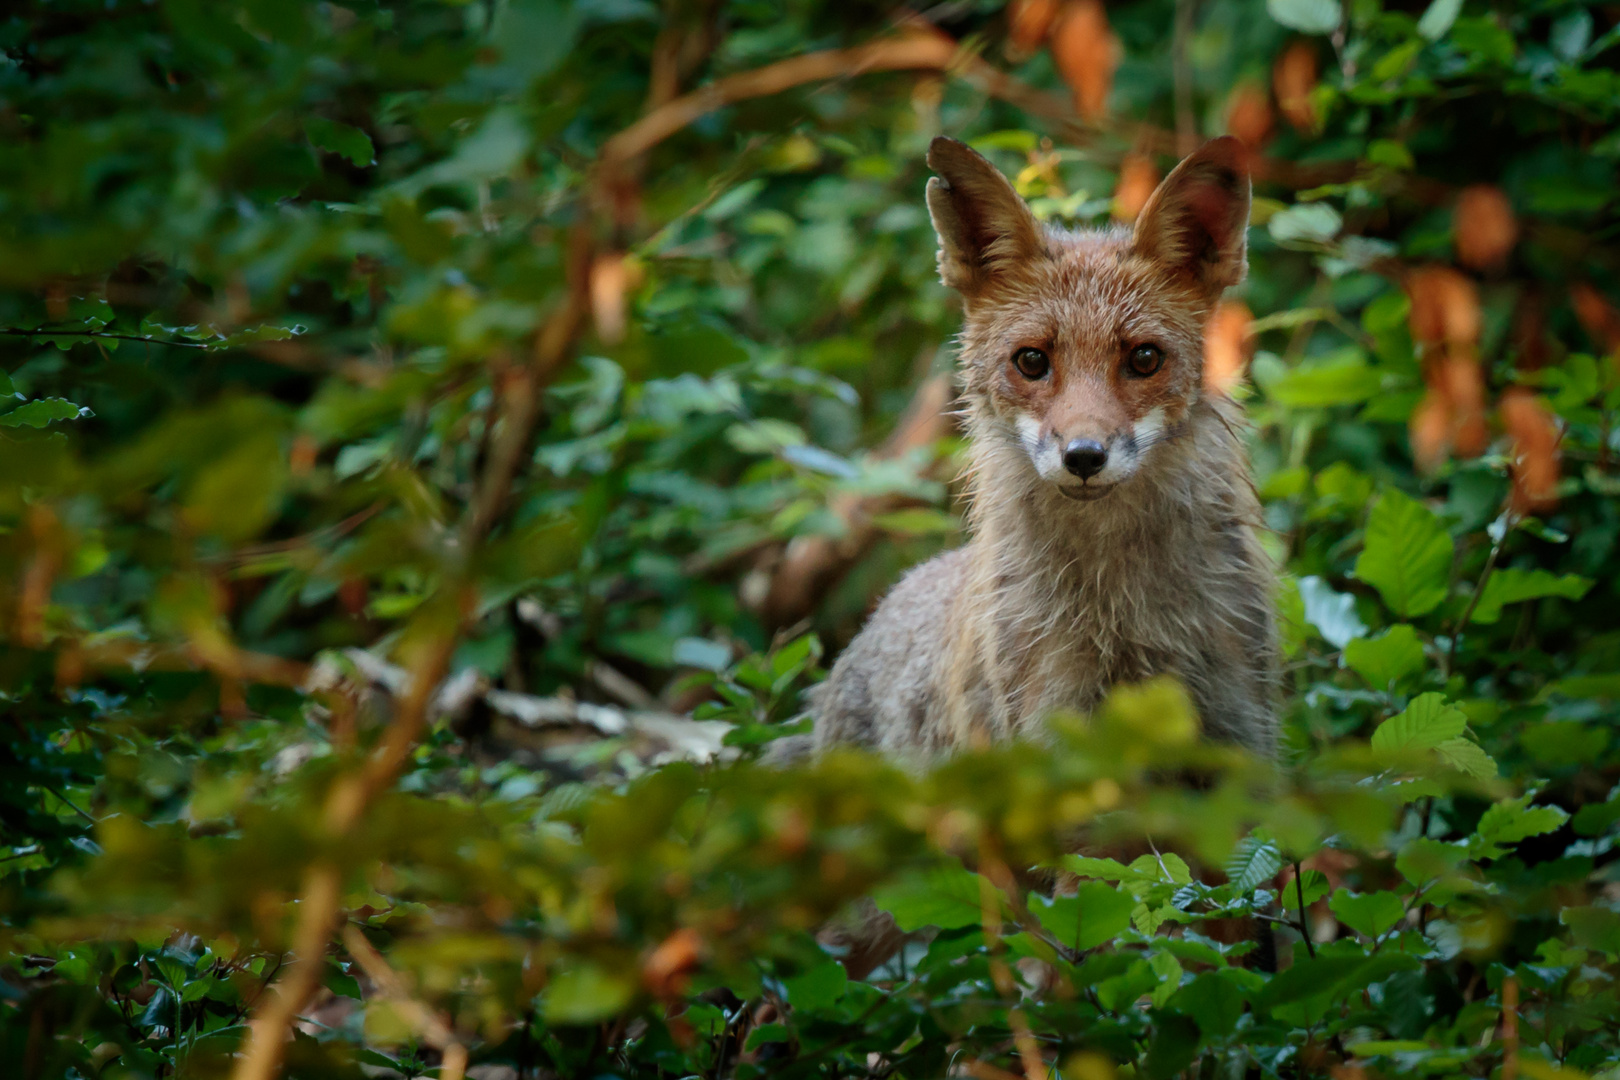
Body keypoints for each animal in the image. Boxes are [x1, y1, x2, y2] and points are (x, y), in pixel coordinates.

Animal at [810, 132, 1276, 761]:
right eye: (1032, 360)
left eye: (1144, 358)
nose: (1083, 457)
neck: (1121, 619)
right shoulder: (1052, 734)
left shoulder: (1240, 727)